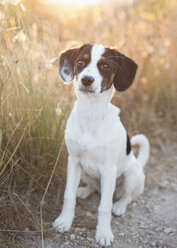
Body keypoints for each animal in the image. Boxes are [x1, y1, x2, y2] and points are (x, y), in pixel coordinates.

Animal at [53, 44, 150, 246]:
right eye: (80, 62)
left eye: (105, 66)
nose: (86, 80)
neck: (91, 113)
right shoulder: (74, 161)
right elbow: (68, 195)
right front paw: (64, 221)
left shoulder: (109, 170)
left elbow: (104, 207)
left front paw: (103, 233)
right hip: (86, 172)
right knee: (94, 186)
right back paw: (85, 190)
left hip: (132, 175)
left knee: (128, 196)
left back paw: (119, 206)